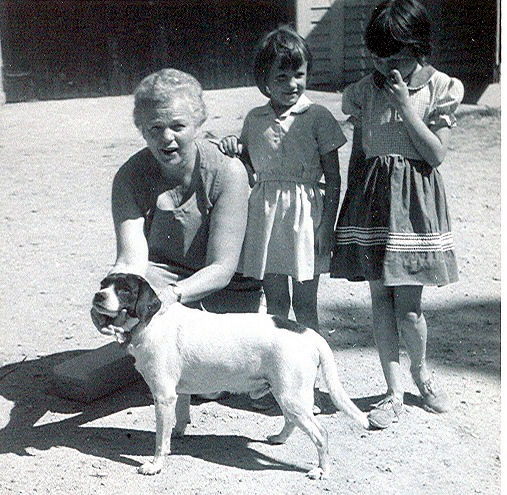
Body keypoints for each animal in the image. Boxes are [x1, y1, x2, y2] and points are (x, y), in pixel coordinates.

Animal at [92, 274, 370, 478]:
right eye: (104, 284)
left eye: (125, 291)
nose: (98, 295)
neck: (152, 322)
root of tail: (308, 333)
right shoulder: (179, 393)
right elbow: (181, 417)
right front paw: (179, 432)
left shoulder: (163, 396)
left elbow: (161, 441)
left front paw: (156, 464)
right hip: (286, 395)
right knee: (292, 422)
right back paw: (279, 438)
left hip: (292, 397)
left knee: (321, 434)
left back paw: (322, 470)